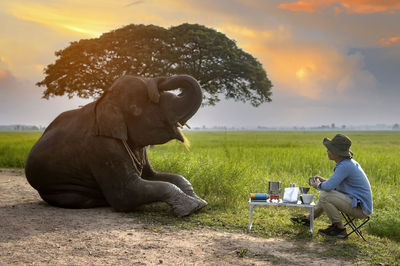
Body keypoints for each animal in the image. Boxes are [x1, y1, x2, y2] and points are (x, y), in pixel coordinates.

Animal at [25, 74, 208, 217]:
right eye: (135, 110)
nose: (158, 81)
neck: (107, 100)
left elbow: (157, 176)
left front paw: (200, 202)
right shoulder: (101, 147)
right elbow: (126, 194)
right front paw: (191, 208)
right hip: (55, 189)